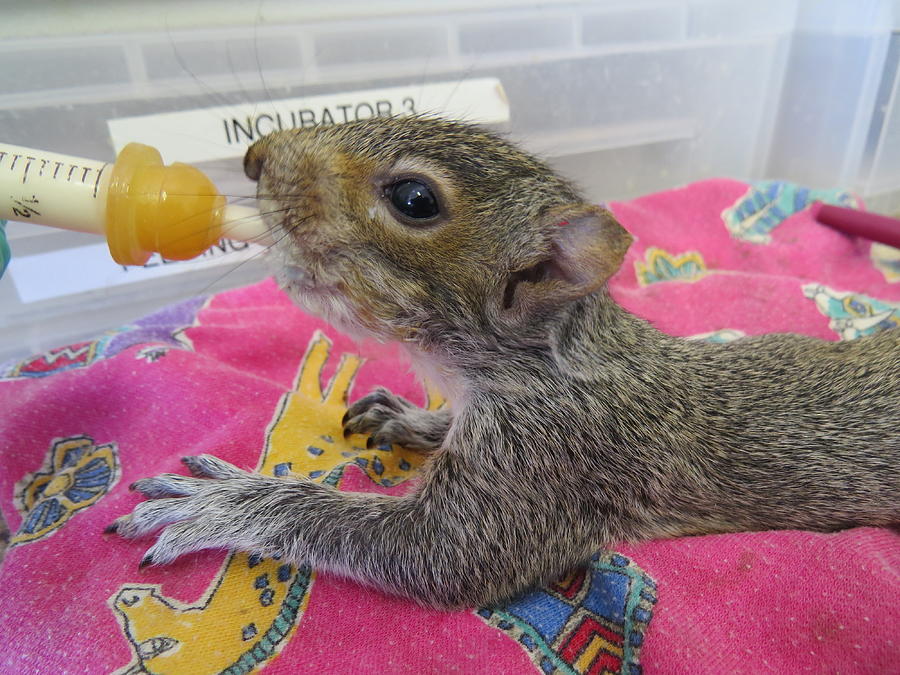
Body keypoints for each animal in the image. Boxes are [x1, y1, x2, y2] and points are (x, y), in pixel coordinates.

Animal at [110, 113, 900, 608]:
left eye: (414, 198)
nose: (255, 156)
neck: (533, 364)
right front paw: (409, 417)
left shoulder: (546, 463)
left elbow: (439, 554)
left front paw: (227, 501)